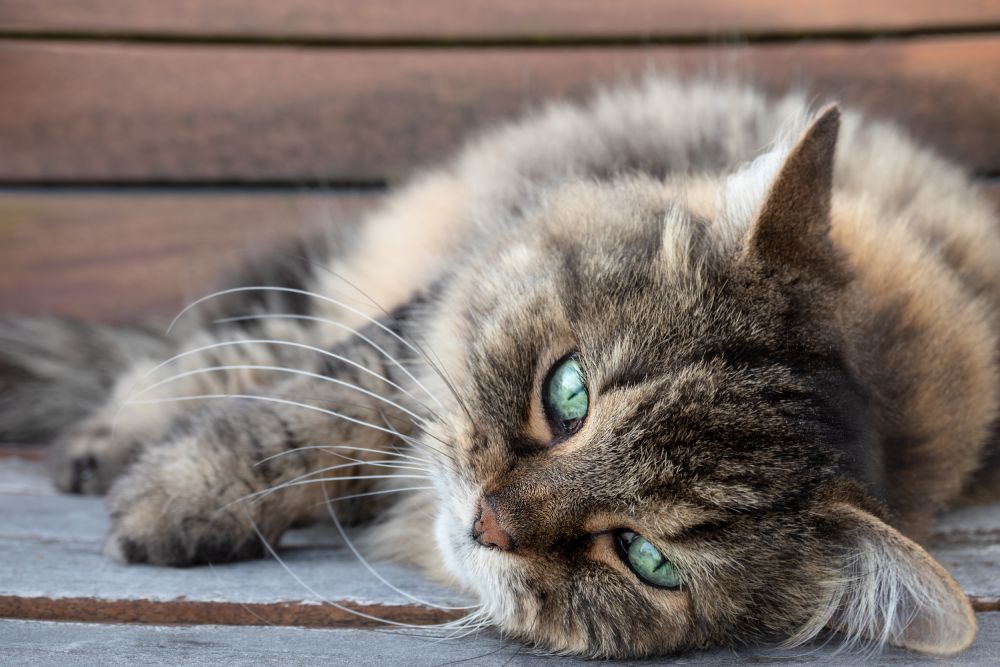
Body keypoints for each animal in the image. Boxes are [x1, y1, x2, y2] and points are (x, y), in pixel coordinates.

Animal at [1, 77, 1000, 656]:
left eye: (645, 555)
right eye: (568, 393)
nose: (486, 520)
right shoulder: (406, 342)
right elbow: (293, 428)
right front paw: (172, 501)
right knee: (209, 358)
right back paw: (105, 444)